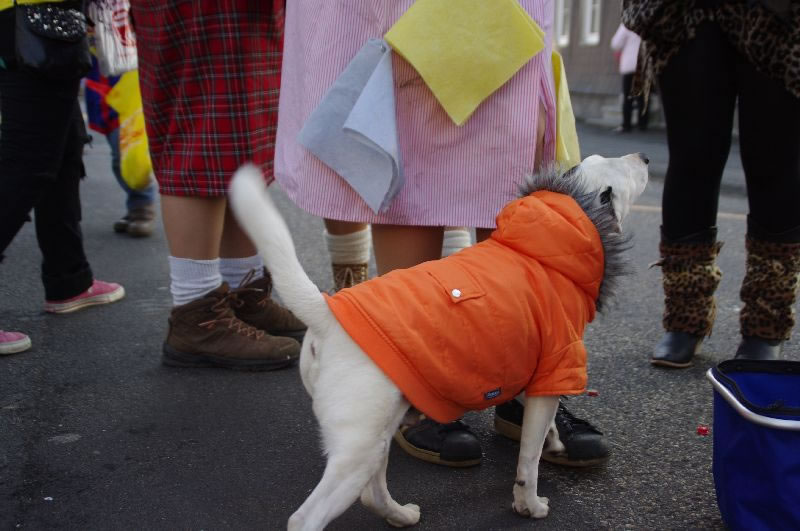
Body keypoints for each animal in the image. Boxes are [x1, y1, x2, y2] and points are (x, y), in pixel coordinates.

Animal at [229, 154, 649, 530]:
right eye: (625, 171)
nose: (645, 157)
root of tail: (327, 315)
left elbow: (541, 428)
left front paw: (557, 441)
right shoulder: (555, 367)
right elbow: (528, 461)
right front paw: (529, 505)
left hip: (375, 434)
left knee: (372, 493)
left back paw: (400, 515)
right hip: (356, 448)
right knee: (306, 517)